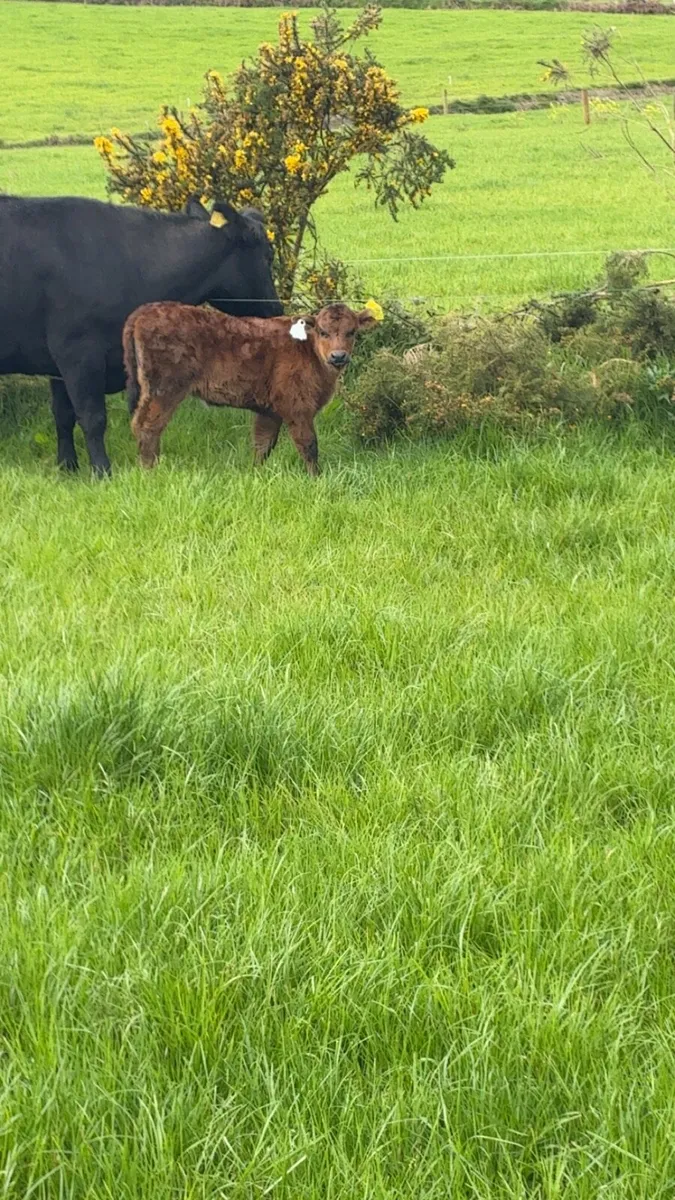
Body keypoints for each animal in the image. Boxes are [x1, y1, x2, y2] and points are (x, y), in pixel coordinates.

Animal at [0, 194, 282, 475]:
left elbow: (63, 416)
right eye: (268, 256)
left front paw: (67, 468)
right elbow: (92, 417)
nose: (277, 309)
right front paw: (102, 472)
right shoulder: (77, 352)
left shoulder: (57, 365)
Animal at [123, 301, 378, 475]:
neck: (309, 350)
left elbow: (262, 443)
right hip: (164, 390)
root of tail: (145, 311)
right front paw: (317, 477)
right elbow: (308, 444)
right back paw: (150, 471)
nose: (338, 356)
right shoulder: (298, 407)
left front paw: (256, 473)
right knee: (148, 426)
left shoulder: (269, 411)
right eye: (323, 332)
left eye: (352, 332)